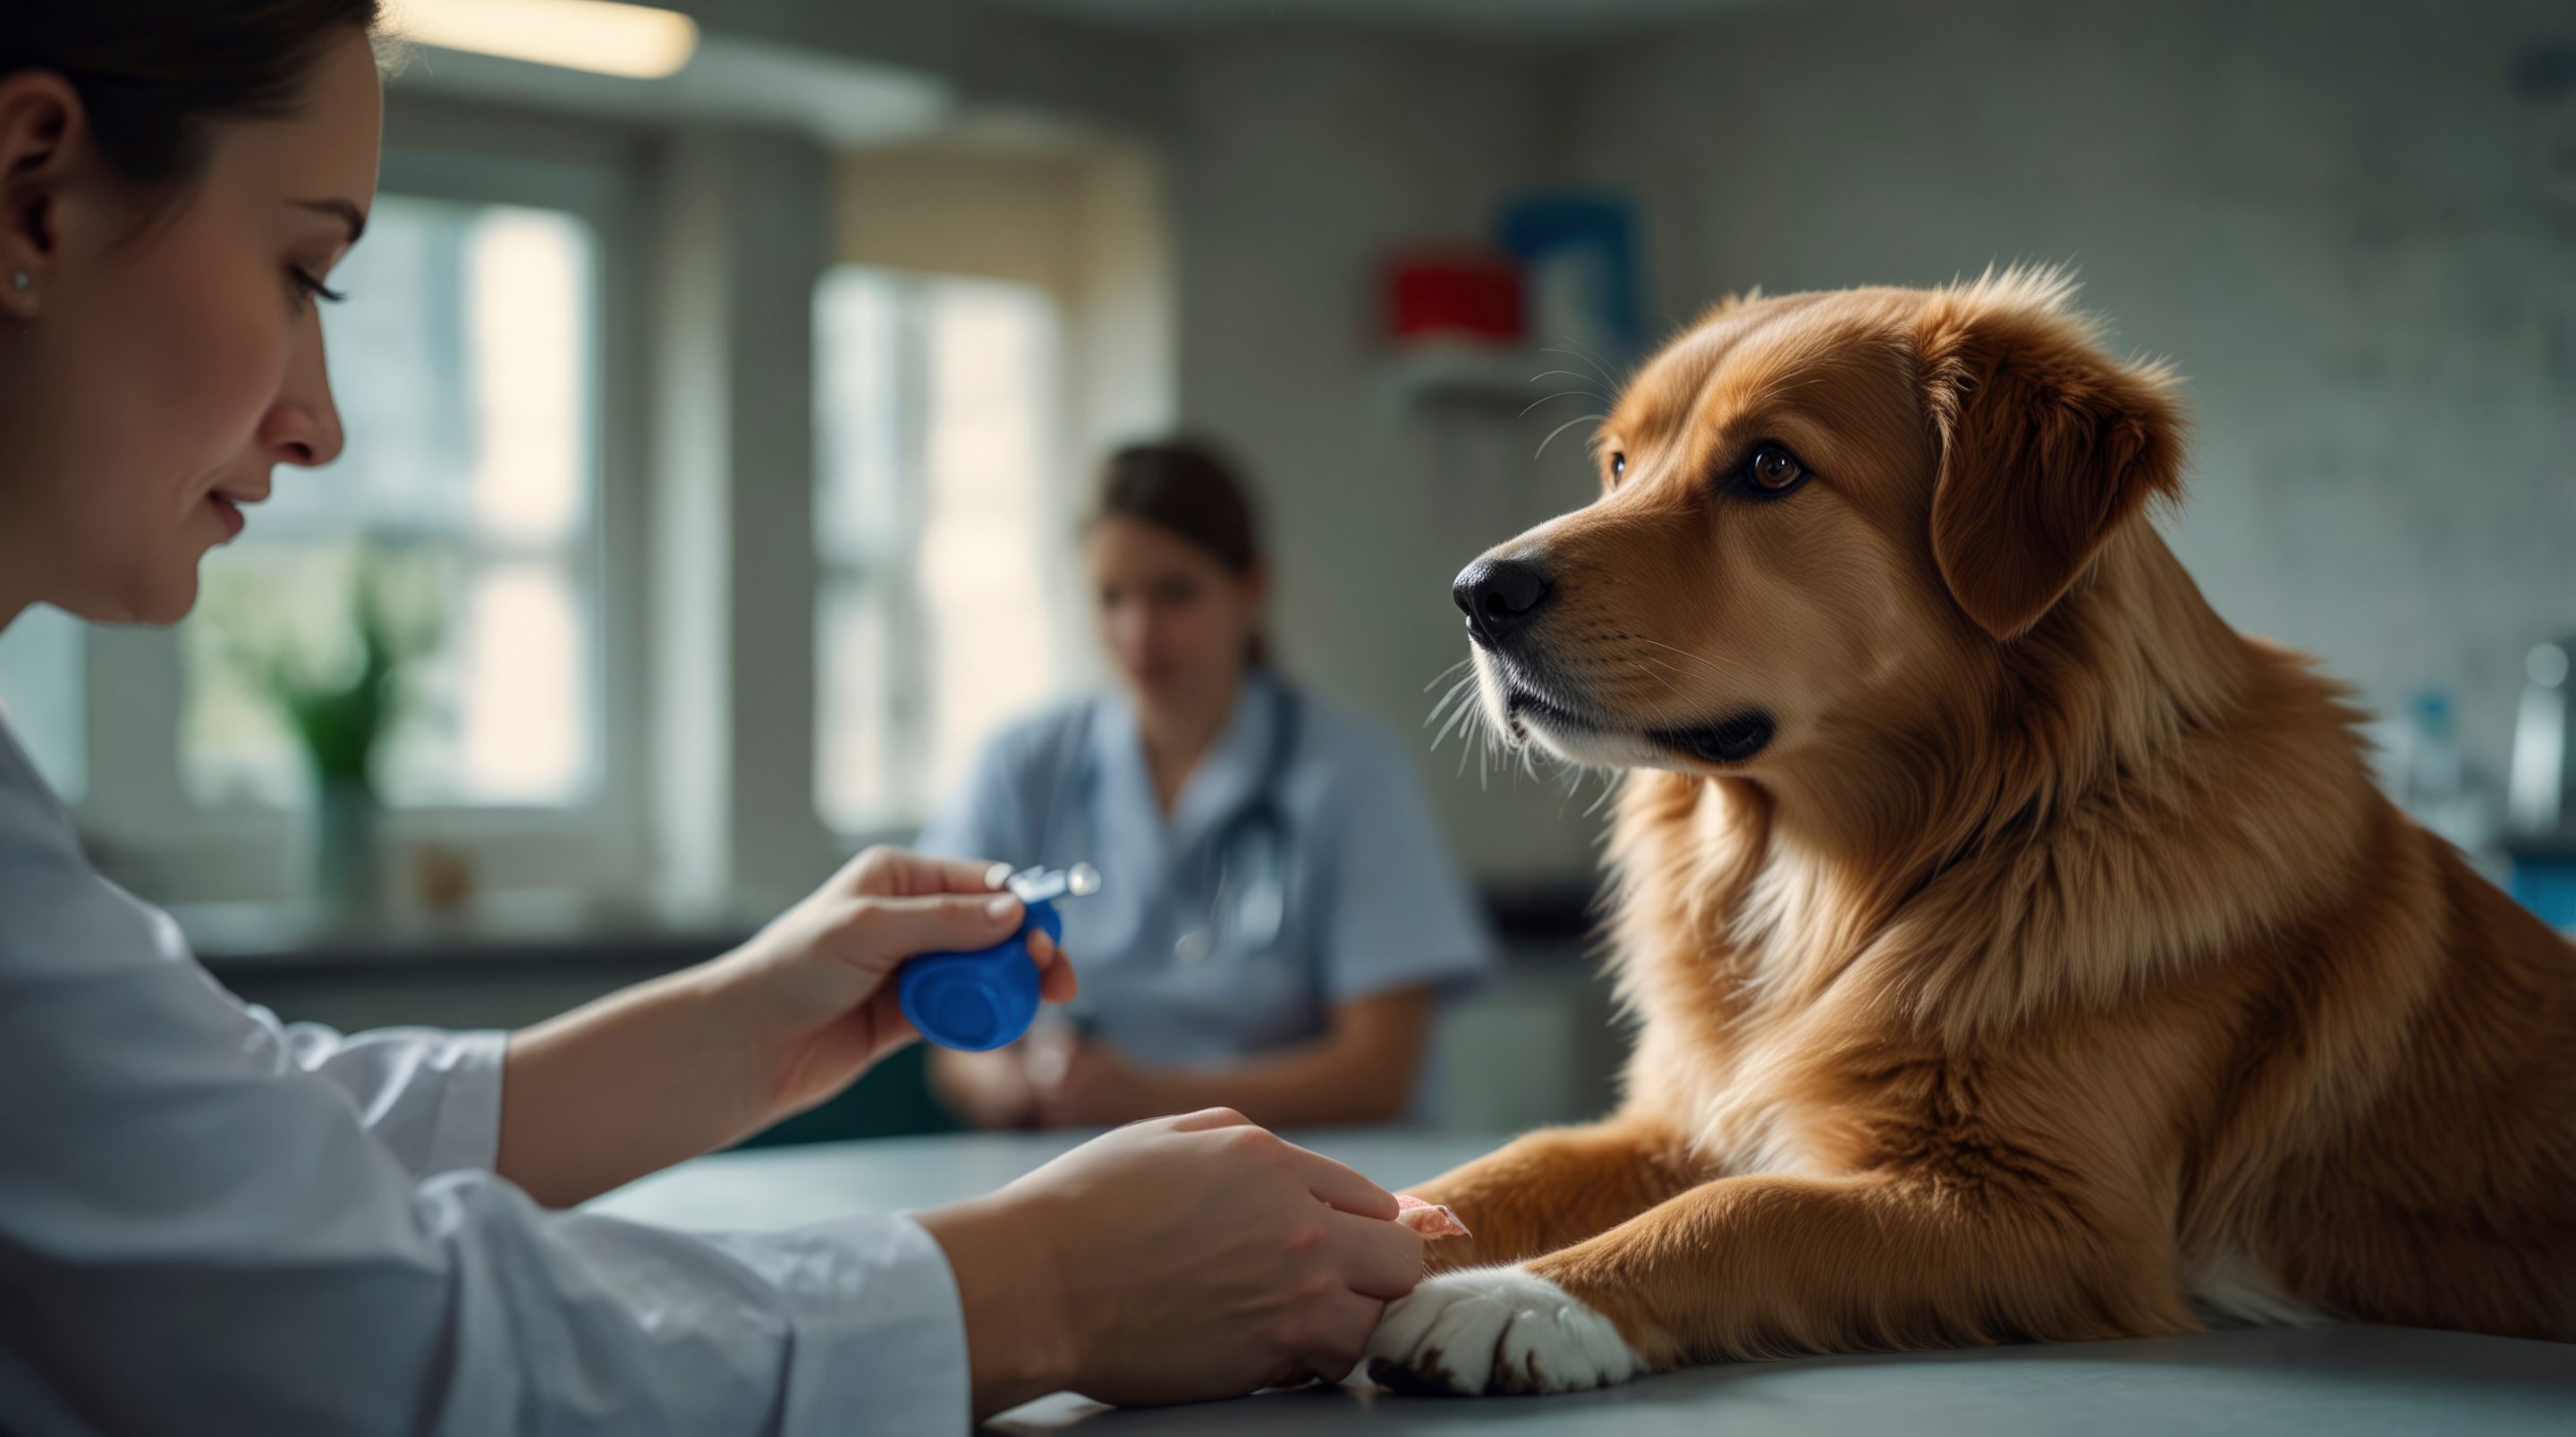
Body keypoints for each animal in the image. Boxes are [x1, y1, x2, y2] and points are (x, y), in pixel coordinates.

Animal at [1360, 270, 2565, 1400]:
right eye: (1616, 464)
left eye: (1771, 467)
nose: (1479, 593)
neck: (1835, 874)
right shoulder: (1680, 1119)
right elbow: (1508, 1165)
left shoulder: (2056, 1217)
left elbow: (1746, 1209)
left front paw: (1527, 1298)